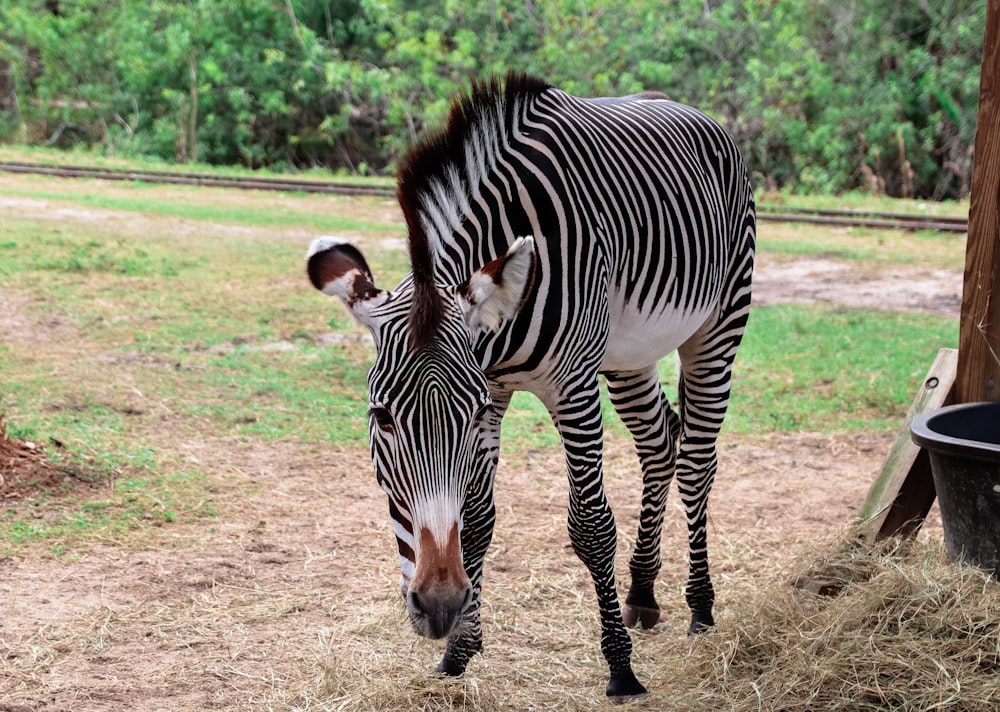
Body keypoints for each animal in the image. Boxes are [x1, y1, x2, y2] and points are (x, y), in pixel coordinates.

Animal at [308, 72, 752, 700]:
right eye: (382, 418)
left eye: (466, 416)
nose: (438, 607)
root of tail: (689, 110)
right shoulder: (493, 385)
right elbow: (476, 520)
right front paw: (459, 652)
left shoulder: (569, 386)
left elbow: (590, 526)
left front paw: (621, 670)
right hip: (628, 354)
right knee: (660, 442)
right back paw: (642, 593)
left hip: (719, 323)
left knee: (696, 461)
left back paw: (701, 608)